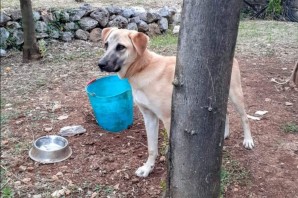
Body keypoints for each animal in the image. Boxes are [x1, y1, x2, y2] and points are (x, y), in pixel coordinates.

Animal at [98, 27, 254, 177]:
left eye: (121, 47)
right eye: (106, 45)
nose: (100, 64)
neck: (142, 68)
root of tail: (231, 57)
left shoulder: (168, 118)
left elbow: (171, 148)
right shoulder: (149, 117)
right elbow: (151, 148)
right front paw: (148, 168)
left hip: (235, 95)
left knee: (244, 118)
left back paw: (248, 140)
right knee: (225, 113)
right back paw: (224, 134)